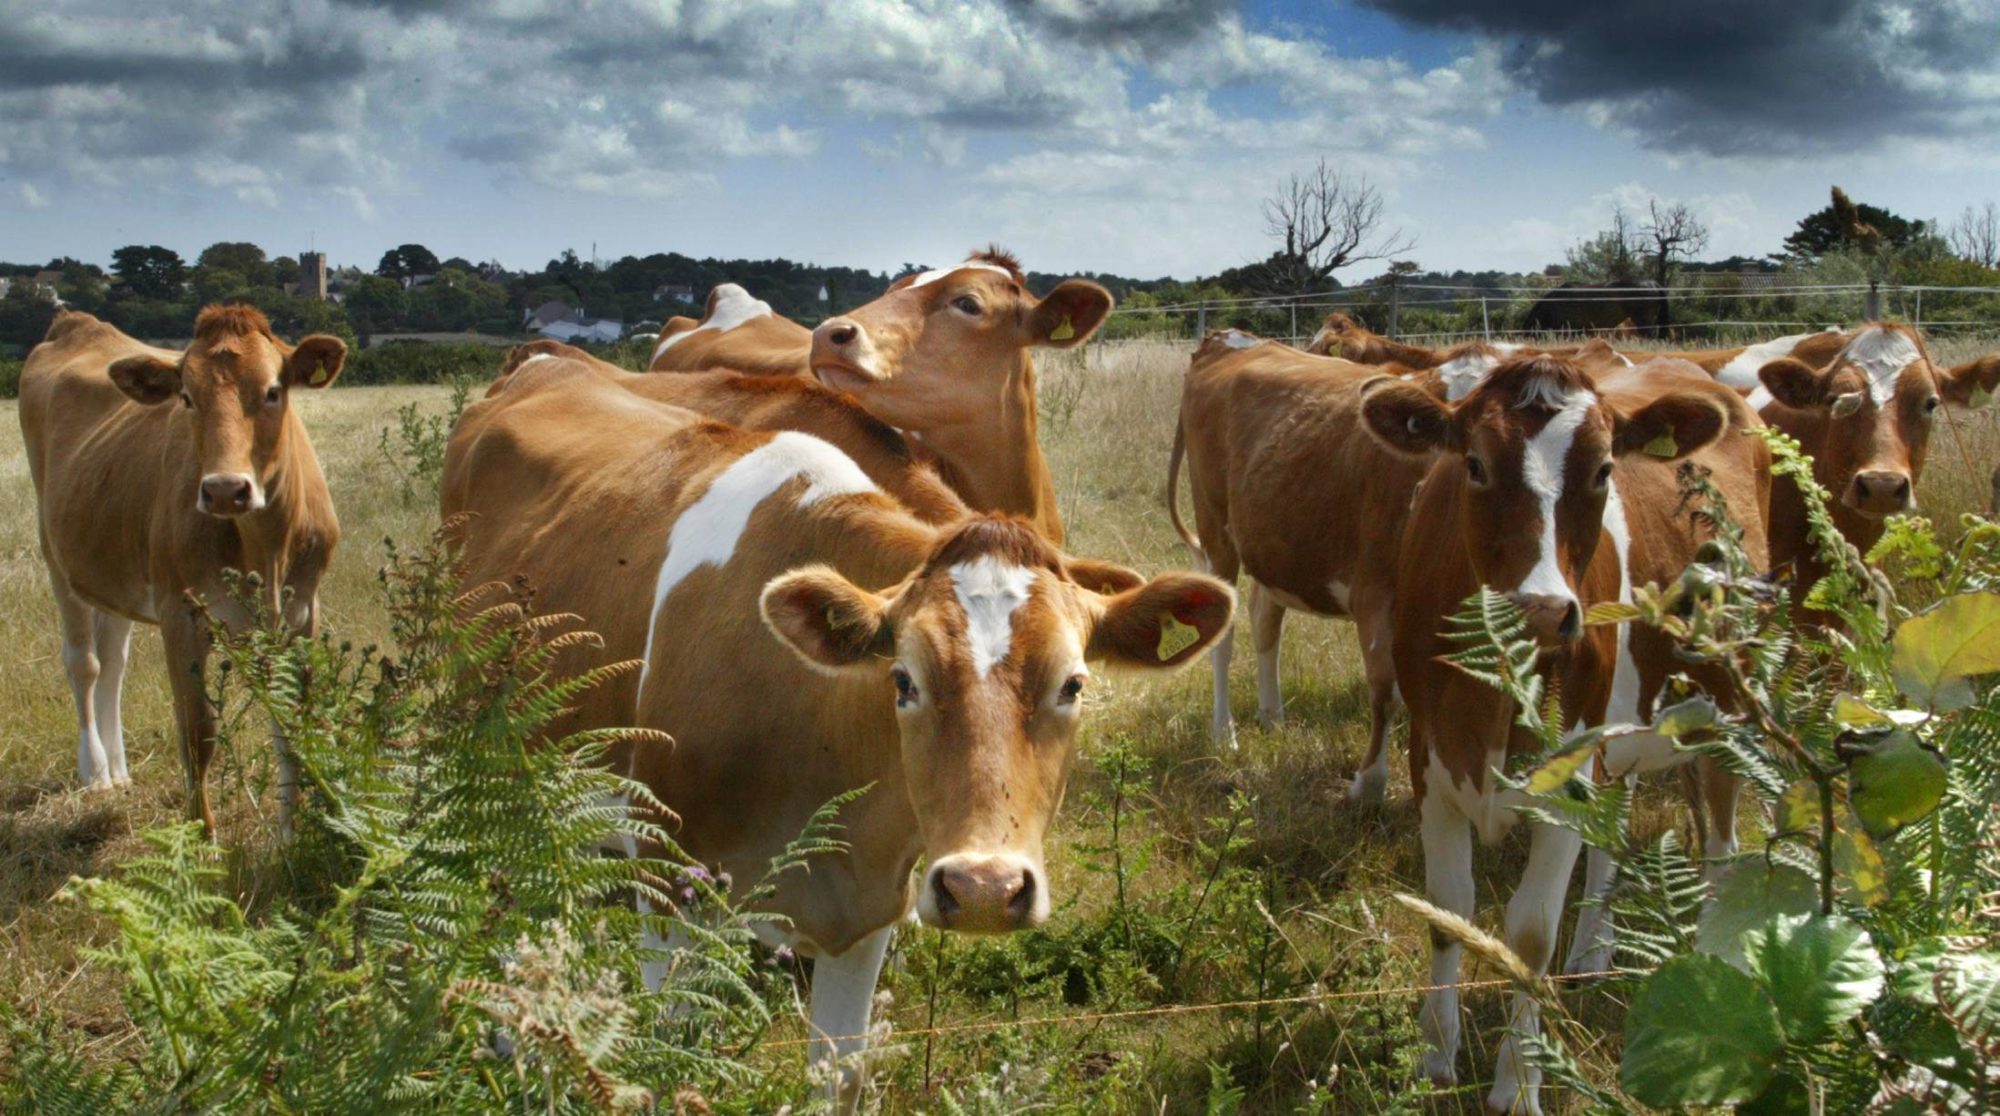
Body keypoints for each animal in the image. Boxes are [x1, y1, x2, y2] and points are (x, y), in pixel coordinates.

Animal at [20, 310, 344, 836]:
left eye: (273, 391)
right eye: (187, 397)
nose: (225, 489)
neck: (264, 549)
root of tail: (76, 322)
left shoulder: (301, 612)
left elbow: (291, 719)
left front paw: (291, 833)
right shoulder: (181, 612)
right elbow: (197, 731)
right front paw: (201, 837)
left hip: (116, 565)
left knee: (113, 658)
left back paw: (119, 768)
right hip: (57, 558)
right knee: (83, 663)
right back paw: (96, 772)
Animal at [442, 354, 1232, 1104]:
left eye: (1073, 683)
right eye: (903, 680)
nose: (982, 887)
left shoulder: (870, 910)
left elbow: (838, 1077)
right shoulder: (668, 887)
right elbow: (662, 1062)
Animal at [1360, 356, 1768, 1112]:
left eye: (1605, 469)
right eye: (1474, 463)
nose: (1544, 611)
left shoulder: (1566, 779)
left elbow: (1528, 933)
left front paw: (1518, 1082)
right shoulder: (1430, 761)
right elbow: (1447, 907)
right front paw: (1436, 1057)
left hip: (1728, 706)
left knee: (1724, 845)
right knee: (1617, 832)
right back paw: (1591, 955)